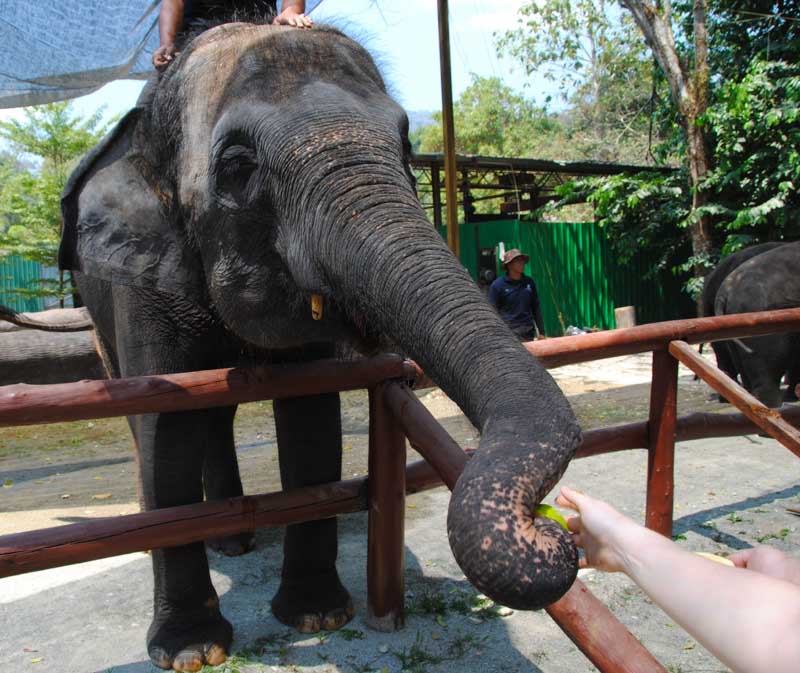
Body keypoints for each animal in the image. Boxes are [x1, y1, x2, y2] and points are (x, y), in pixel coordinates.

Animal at [57, 15, 580, 672]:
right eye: (238, 165)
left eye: (406, 146)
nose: (550, 526)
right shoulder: (144, 287)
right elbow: (166, 433)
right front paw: (191, 650)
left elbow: (310, 419)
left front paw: (319, 616)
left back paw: (234, 540)